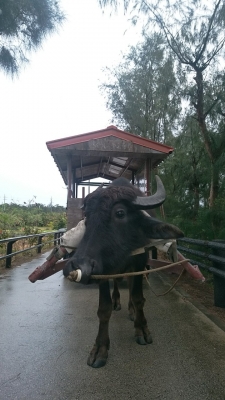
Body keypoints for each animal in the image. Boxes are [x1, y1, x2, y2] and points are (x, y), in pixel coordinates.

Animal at [62, 177, 183, 368]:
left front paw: (141, 328)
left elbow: (138, 297)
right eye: (87, 216)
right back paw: (117, 302)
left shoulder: (140, 262)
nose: (79, 265)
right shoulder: (103, 271)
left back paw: (131, 310)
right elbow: (104, 308)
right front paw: (100, 348)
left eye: (120, 213)